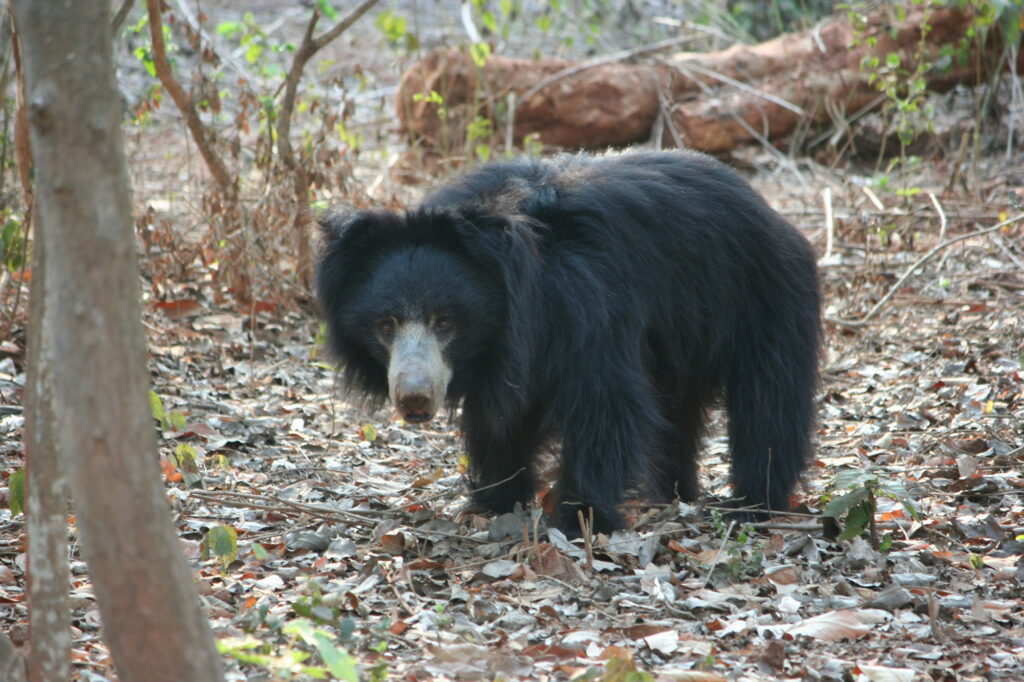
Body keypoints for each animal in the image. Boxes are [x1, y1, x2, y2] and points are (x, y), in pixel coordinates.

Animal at [316, 150, 820, 535]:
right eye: (386, 324)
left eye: (445, 322)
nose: (415, 399)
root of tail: (767, 210)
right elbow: (502, 419)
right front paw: (495, 500)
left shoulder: (589, 304)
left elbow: (604, 402)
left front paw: (581, 517)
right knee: (676, 409)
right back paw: (671, 493)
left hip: (762, 299)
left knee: (768, 401)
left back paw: (754, 503)